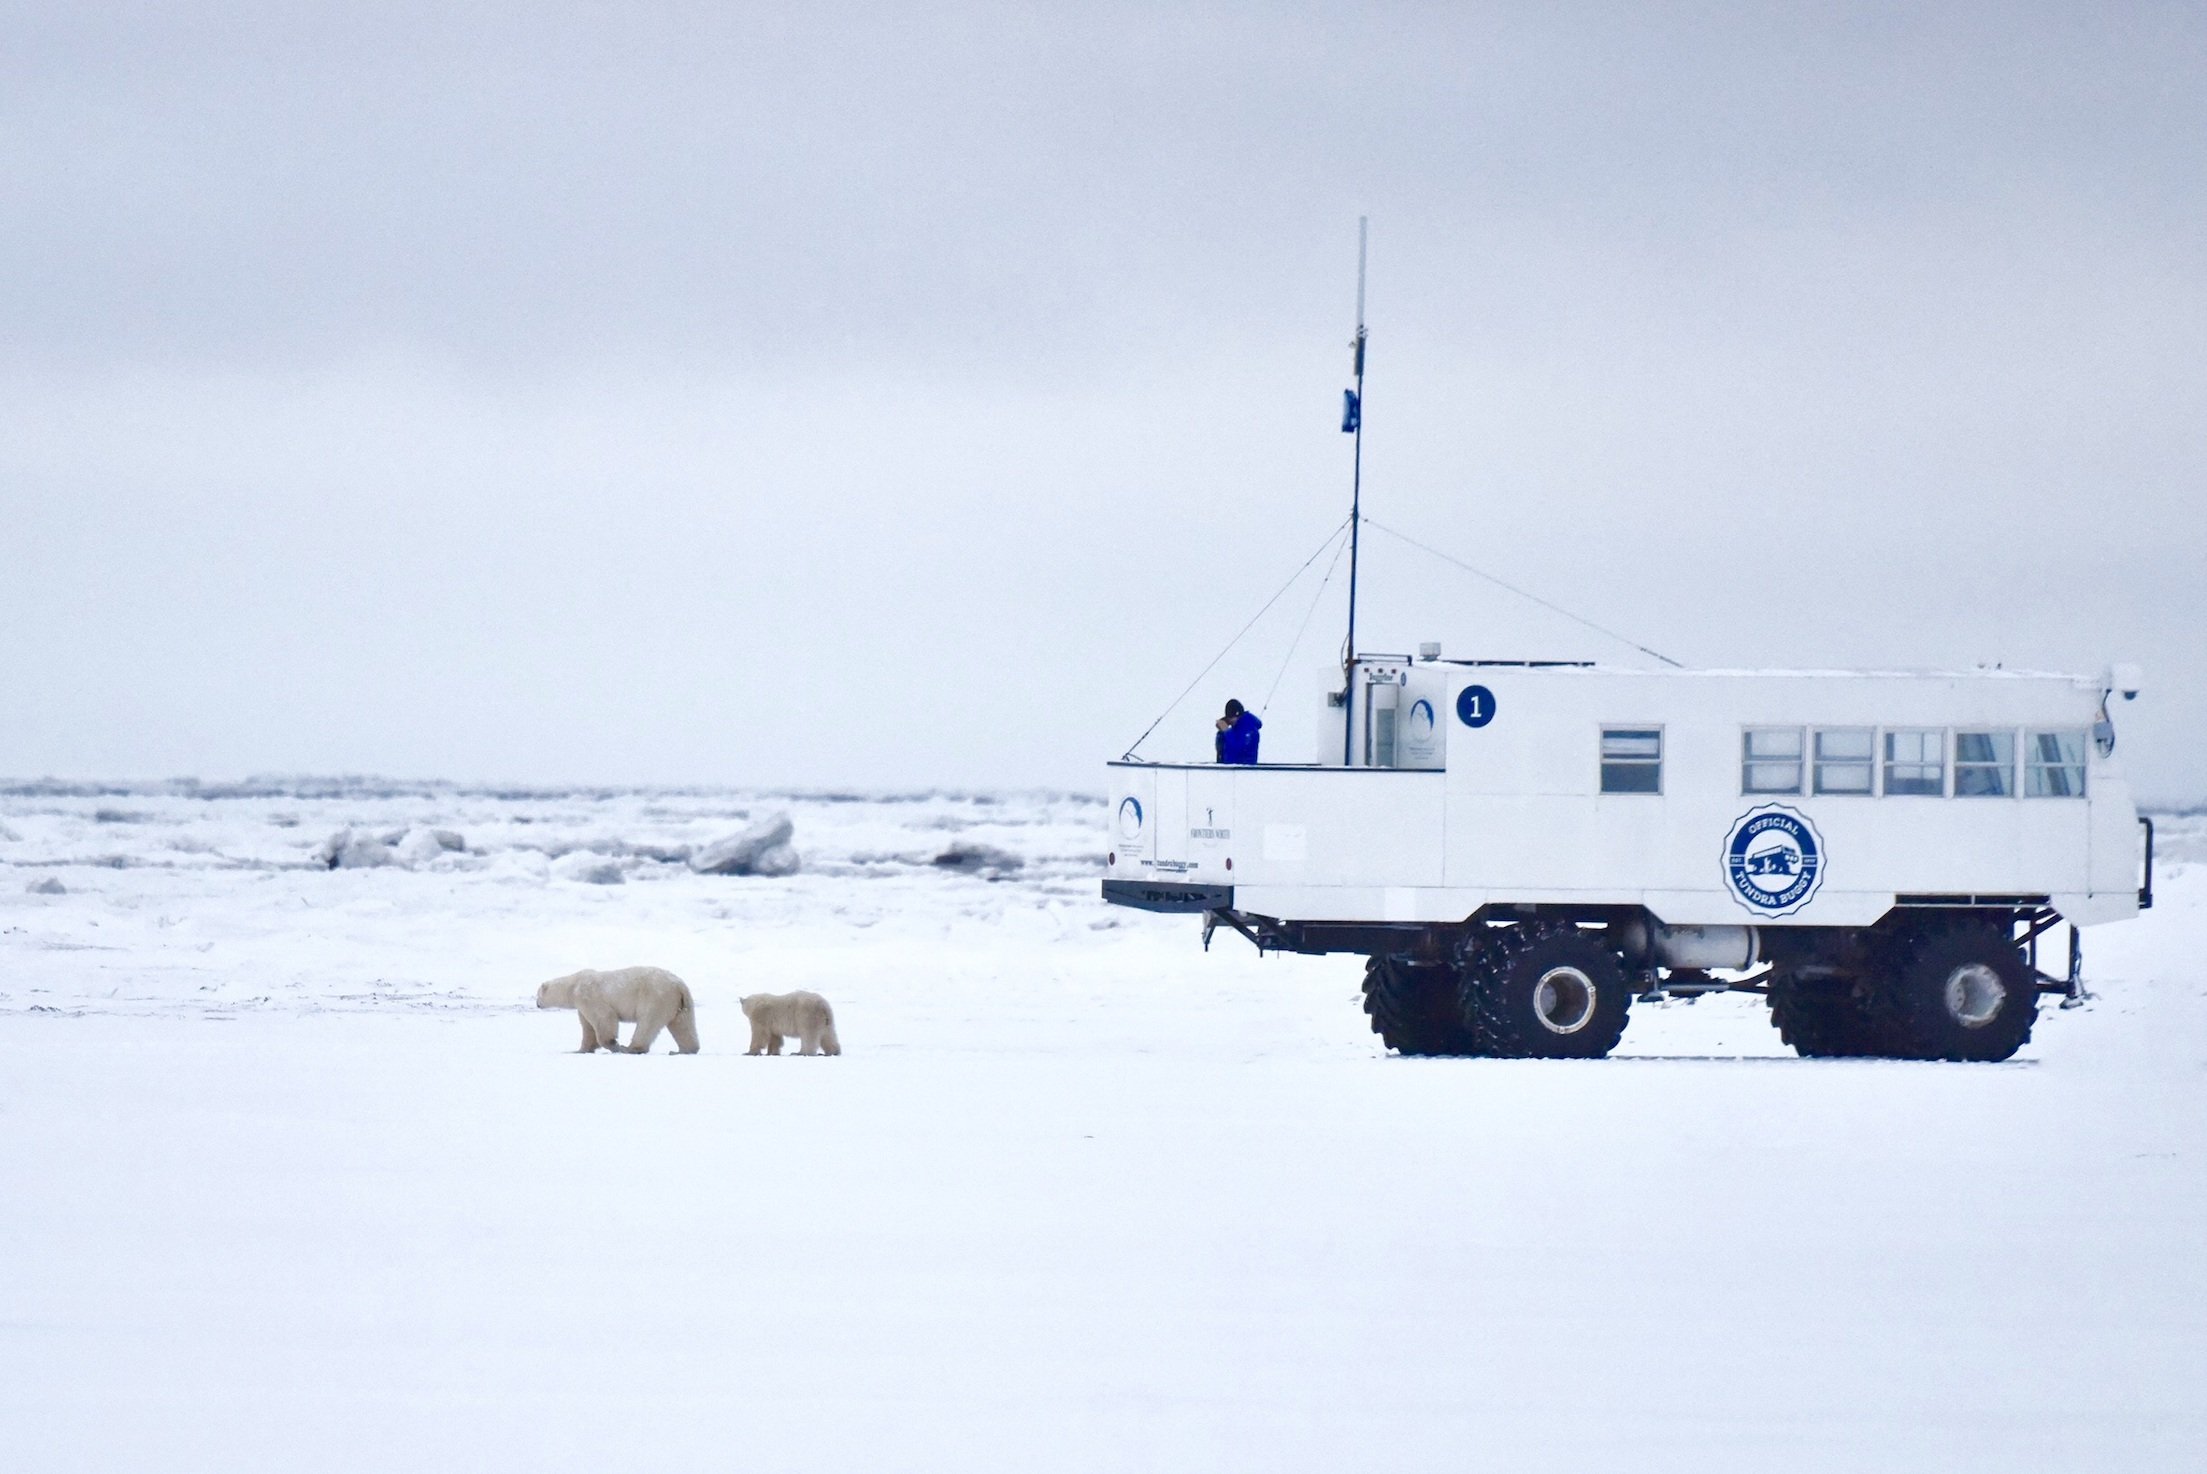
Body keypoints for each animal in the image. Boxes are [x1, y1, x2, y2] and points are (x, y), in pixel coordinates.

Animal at [536, 962, 697, 1054]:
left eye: (537, 994)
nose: (537, 1004)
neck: (573, 985)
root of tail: (679, 986)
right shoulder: (581, 1006)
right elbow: (588, 1028)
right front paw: (580, 1050)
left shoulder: (588, 996)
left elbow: (604, 1017)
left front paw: (614, 1045)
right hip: (680, 1003)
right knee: (683, 1025)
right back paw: (684, 1050)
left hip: (655, 997)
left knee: (647, 1022)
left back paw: (630, 1048)